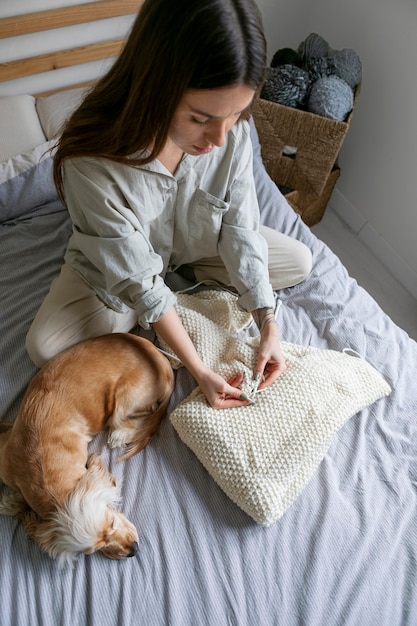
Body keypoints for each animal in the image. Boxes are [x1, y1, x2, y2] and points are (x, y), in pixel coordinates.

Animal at [0, 334, 174, 568]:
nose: (134, 550)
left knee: (137, 417)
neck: (39, 465)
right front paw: (11, 503)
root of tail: (164, 363)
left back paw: (120, 435)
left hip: (123, 402)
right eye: (93, 550)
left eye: (111, 521)